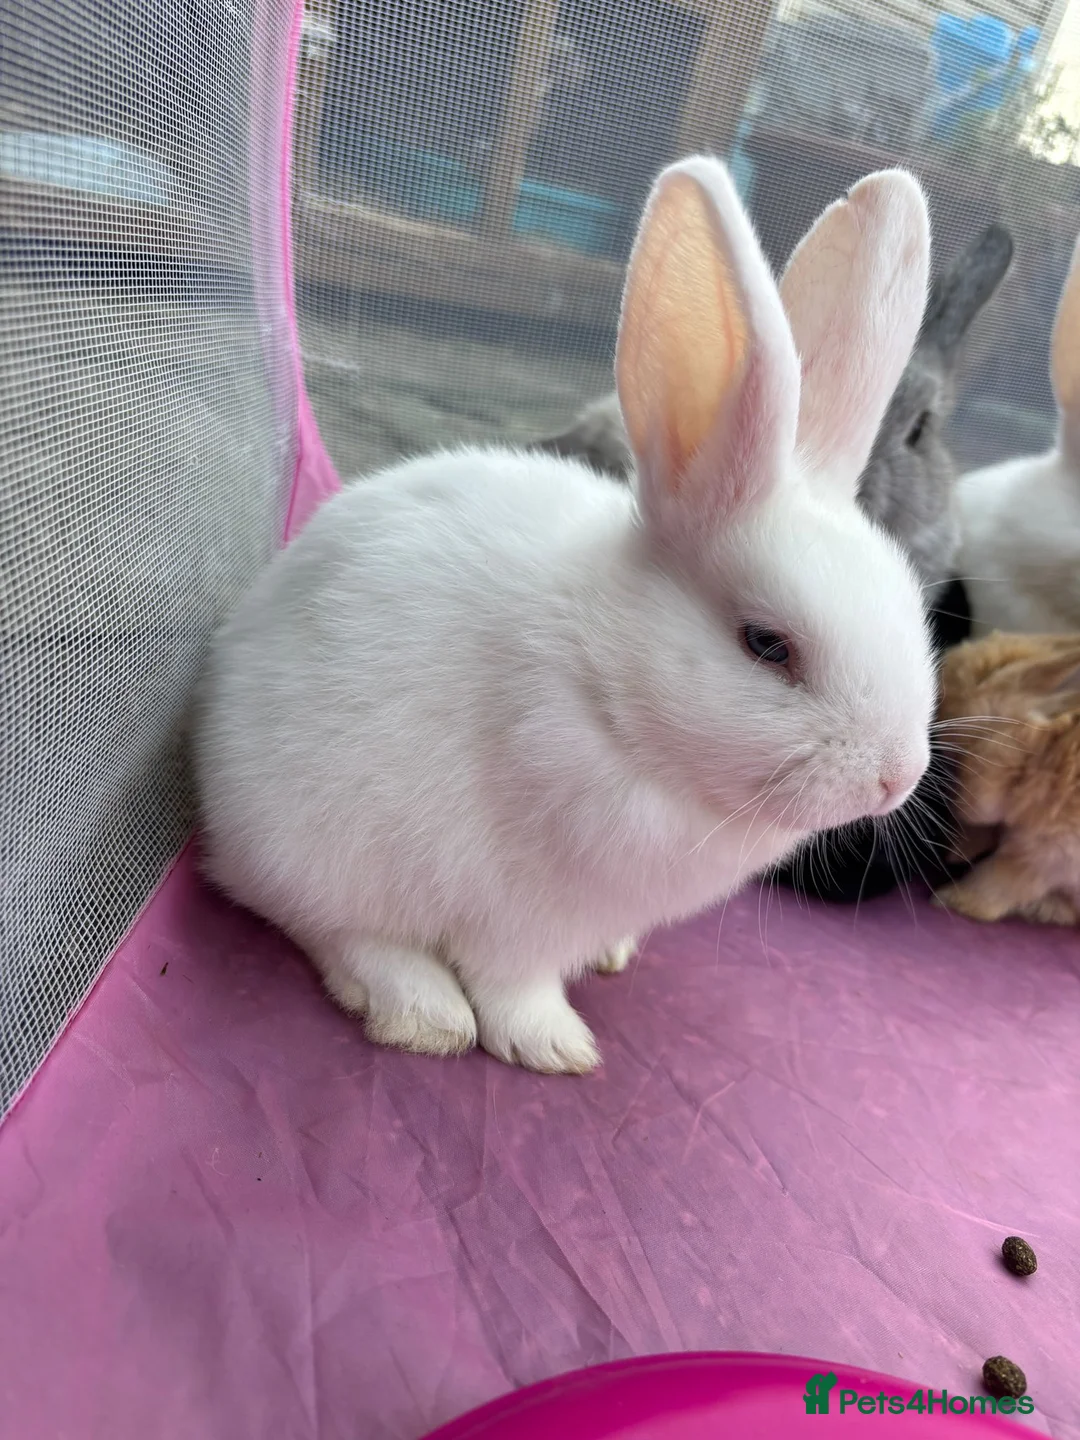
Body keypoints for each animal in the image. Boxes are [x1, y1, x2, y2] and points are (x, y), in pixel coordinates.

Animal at [192, 156, 934, 1075]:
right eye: (768, 645)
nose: (897, 777)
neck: (603, 684)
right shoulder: (521, 912)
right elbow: (513, 982)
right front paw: (556, 1047)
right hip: (313, 842)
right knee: (335, 930)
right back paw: (423, 1013)